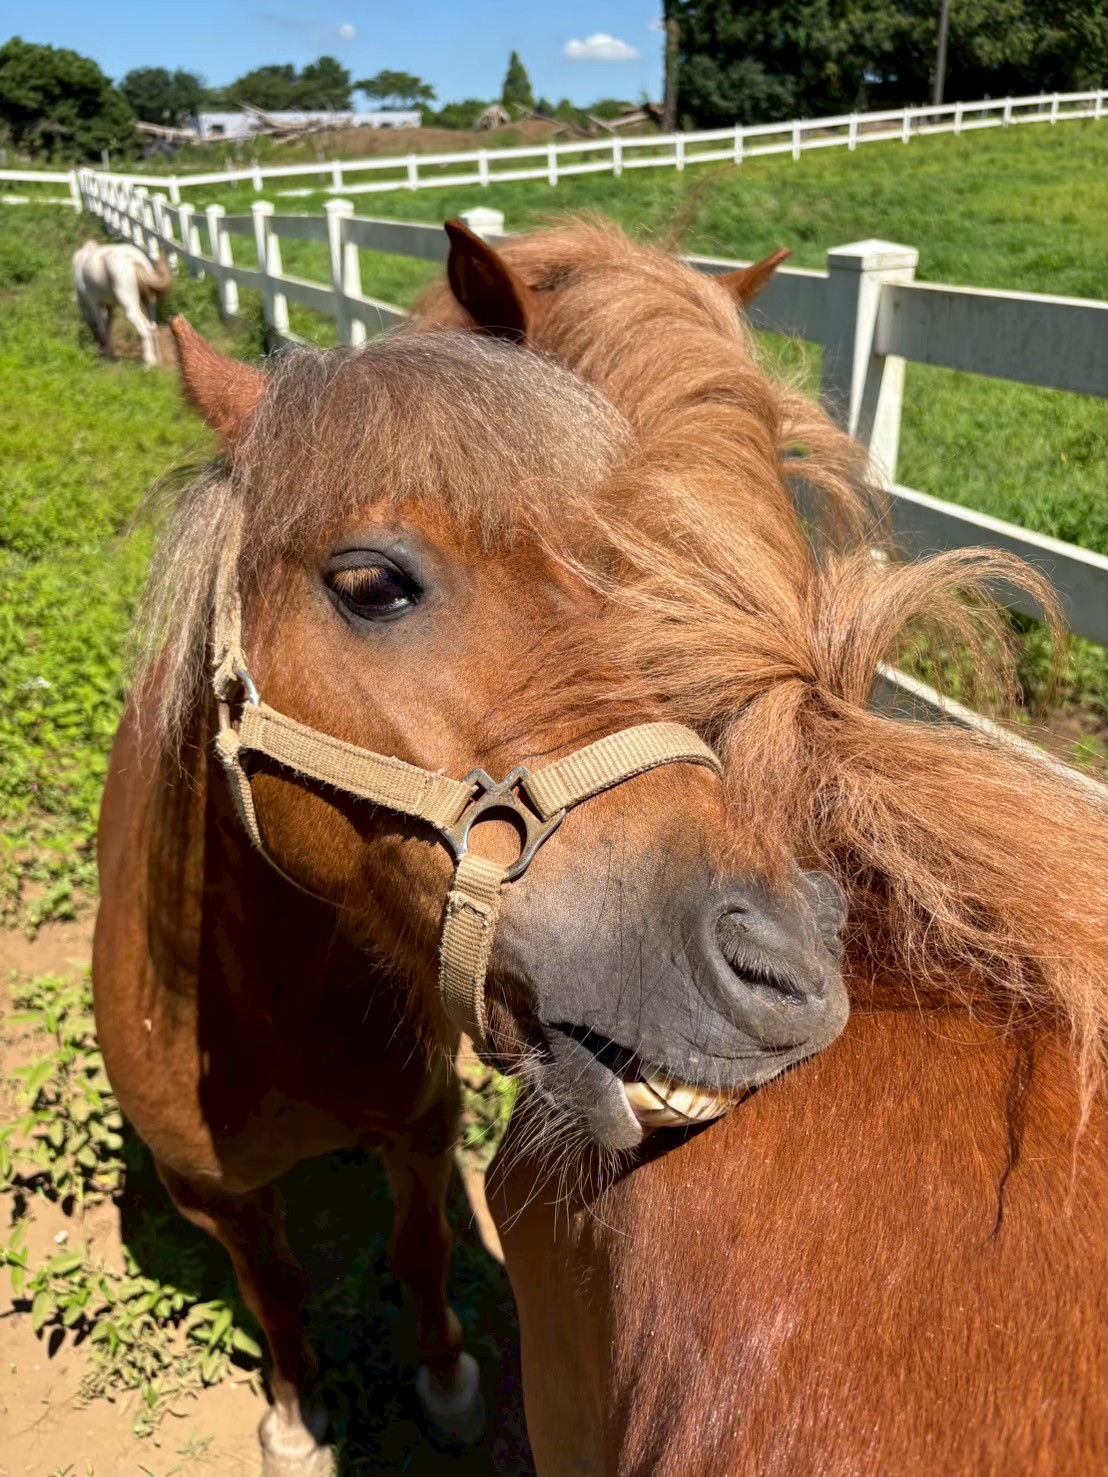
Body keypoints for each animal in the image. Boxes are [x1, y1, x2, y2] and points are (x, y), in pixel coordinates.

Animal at [72, 238, 172, 367]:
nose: (97, 347)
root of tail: (135, 260)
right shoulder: (110, 307)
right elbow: (108, 327)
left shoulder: (95, 304)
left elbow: (103, 328)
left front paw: (107, 357)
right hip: (150, 303)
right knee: (153, 327)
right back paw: (158, 361)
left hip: (130, 307)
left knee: (145, 328)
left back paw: (148, 363)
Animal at [92, 319, 854, 1476]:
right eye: (371, 583)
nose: (786, 961)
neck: (259, 1014)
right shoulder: (214, 1195)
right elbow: (274, 1288)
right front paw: (295, 1412)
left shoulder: (421, 1125)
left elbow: (421, 1245)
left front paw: (446, 1381)